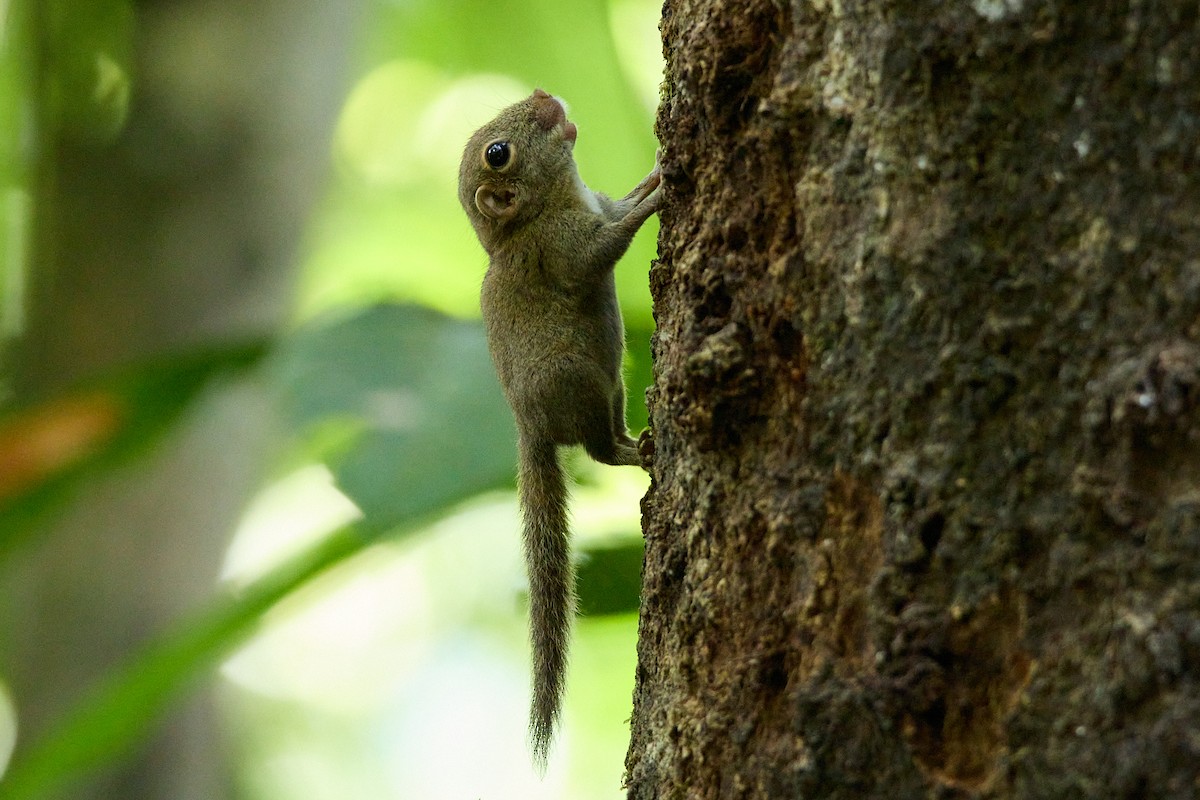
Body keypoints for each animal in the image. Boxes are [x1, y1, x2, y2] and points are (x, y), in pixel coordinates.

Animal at [458, 88, 661, 769]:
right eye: (497, 153)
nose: (545, 98)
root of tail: (530, 429)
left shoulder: (597, 203)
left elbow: (621, 201)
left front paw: (657, 171)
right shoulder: (561, 247)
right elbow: (608, 244)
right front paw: (663, 194)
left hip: (614, 384)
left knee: (611, 440)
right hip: (581, 382)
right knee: (599, 453)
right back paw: (645, 454)